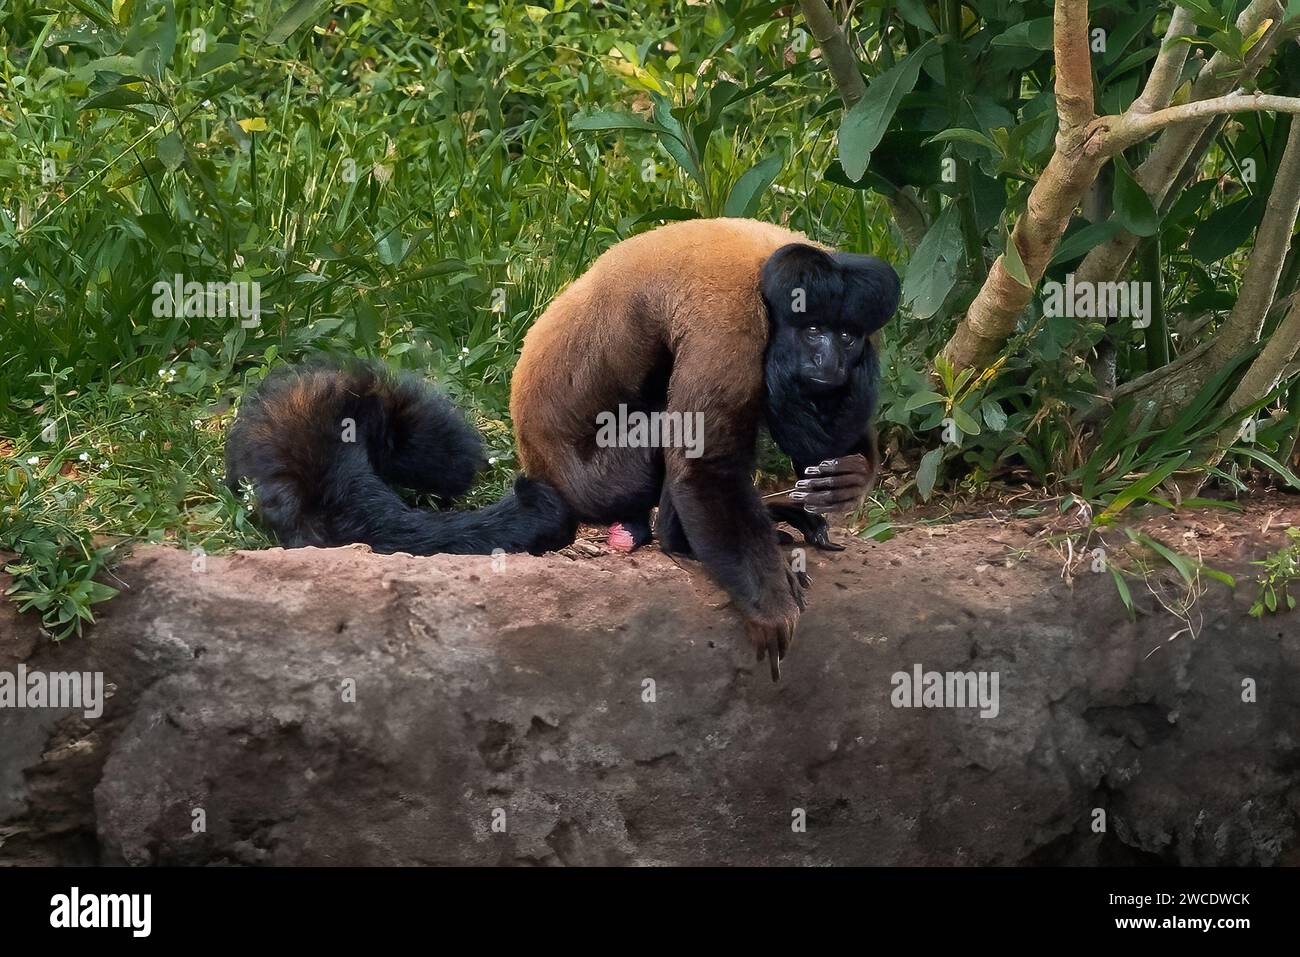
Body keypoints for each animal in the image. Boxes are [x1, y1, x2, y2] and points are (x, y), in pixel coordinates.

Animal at [512, 217, 899, 681]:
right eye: (812, 332)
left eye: (845, 336)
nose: (829, 363)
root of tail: (537, 463)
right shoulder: (731, 325)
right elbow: (702, 468)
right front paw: (770, 604)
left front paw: (851, 476)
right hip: (601, 481)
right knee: (670, 428)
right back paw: (679, 543)